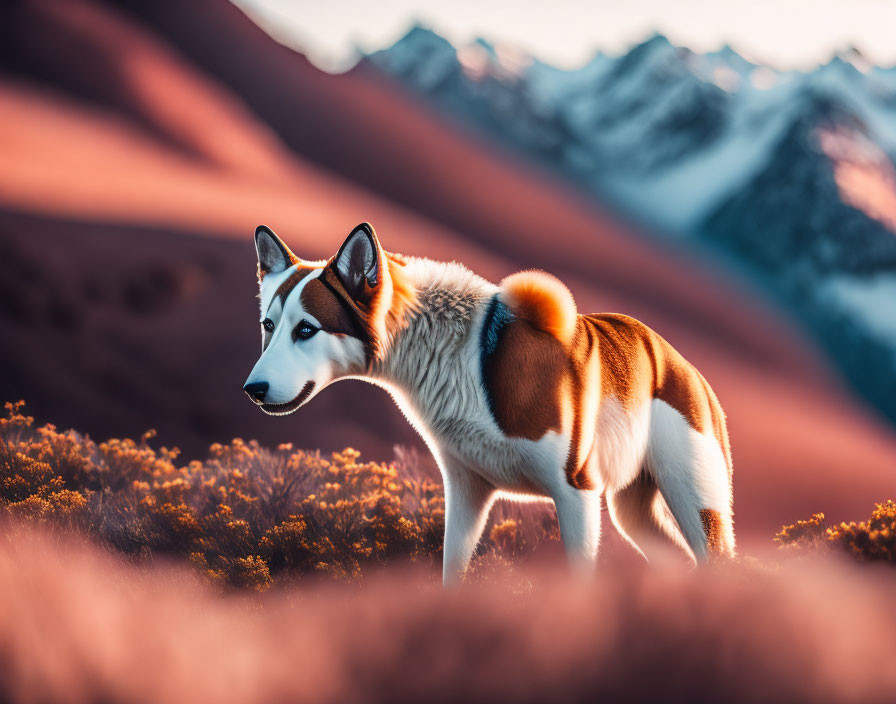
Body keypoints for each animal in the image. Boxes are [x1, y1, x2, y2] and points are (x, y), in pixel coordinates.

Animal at [243, 223, 736, 580]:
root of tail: (685, 368)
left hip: (697, 505)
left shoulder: (575, 492)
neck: (462, 360)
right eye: (268, 325)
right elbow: (452, 576)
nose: (253, 389)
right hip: (632, 512)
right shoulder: (467, 492)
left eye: (307, 329)